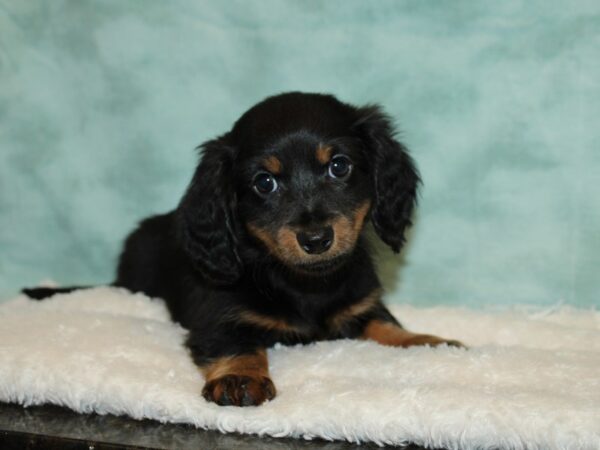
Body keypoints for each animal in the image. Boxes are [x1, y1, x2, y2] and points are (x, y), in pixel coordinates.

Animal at [24, 92, 460, 408]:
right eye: (265, 183)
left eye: (339, 166)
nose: (316, 240)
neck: (302, 282)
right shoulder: (218, 317)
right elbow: (237, 344)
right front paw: (241, 378)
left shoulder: (361, 304)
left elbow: (386, 325)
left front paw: (426, 342)